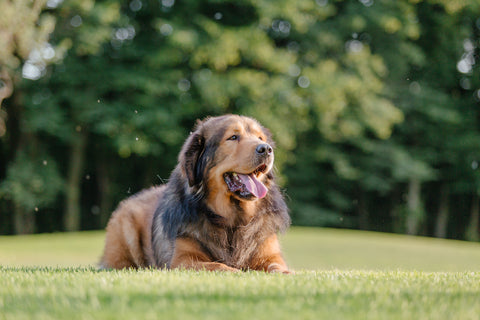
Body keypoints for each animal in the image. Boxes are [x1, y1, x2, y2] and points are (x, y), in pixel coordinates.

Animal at [99, 115, 290, 272]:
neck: (233, 222)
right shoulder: (182, 261)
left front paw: (287, 274)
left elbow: (277, 266)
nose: (266, 149)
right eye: (233, 137)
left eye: (260, 138)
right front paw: (238, 273)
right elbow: (218, 266)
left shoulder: (269, 254)